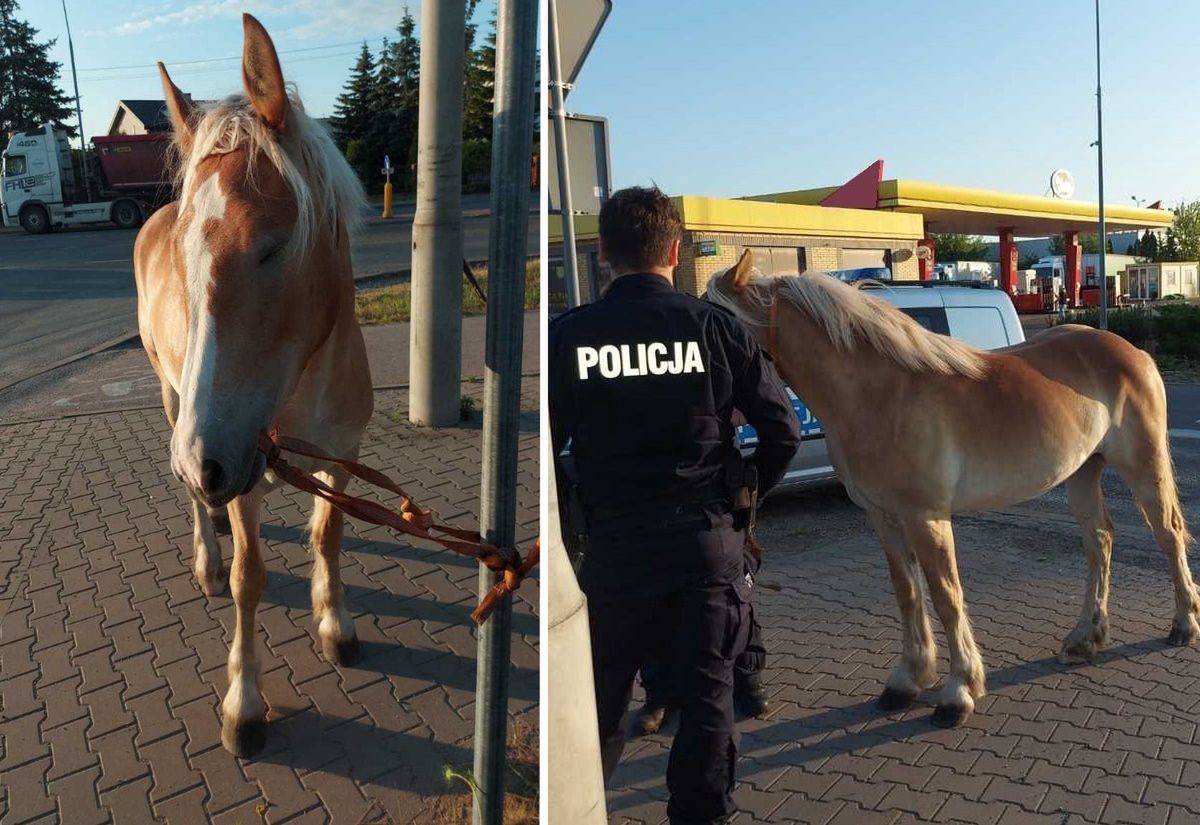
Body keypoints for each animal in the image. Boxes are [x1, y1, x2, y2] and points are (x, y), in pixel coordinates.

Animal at [133, 14, 372, 762]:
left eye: (273, 245)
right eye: (186, 257)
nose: (204, 462)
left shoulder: (342, 455)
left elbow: (328, 534)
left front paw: (336, 623)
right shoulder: (235, 460)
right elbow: (249, 578)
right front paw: (244, 704)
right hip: (175, 402)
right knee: (199, 509)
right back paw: (205, 553)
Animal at [705, 251, 1195, 729]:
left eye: (716, 328)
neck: (878, 394)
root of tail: (1133, 351)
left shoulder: (926, 517)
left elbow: (946, 596)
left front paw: (959, 691)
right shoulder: (883, 517)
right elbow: (907, 592)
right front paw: (907, 680)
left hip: (1143, 467)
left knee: (1168, 535)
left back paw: (1184, 624)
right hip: (1081, 472)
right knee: (1100, 542)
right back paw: (1085, 638)